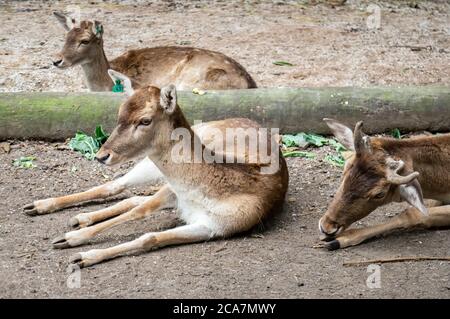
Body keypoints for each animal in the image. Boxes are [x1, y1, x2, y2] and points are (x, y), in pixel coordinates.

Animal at [23, 71, 288, 268]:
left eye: (145, 120)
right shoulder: (173, 191)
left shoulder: (219, 227)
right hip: (151, 168)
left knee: (131, 197)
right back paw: (40, 205)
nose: (101, 155)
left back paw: (79, 218)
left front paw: (82, 254)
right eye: (119, 113)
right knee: (119, 186)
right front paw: (70, 239)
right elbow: (138, 211)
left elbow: (149, 235)